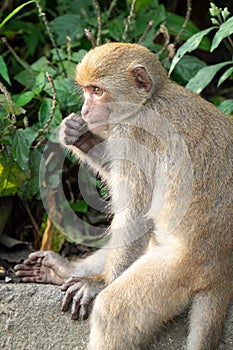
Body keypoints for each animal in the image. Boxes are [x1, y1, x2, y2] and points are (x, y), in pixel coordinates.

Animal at [14, 43, 231, 350]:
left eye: (97, 91)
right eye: (86, 90)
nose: (85, 109)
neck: (149, 101)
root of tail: (223, 273)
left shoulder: (136, 134)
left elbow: (135, 213)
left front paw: (101, 282)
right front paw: (82, 138)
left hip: (181, 270)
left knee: (112, 312)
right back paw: (62, 270)